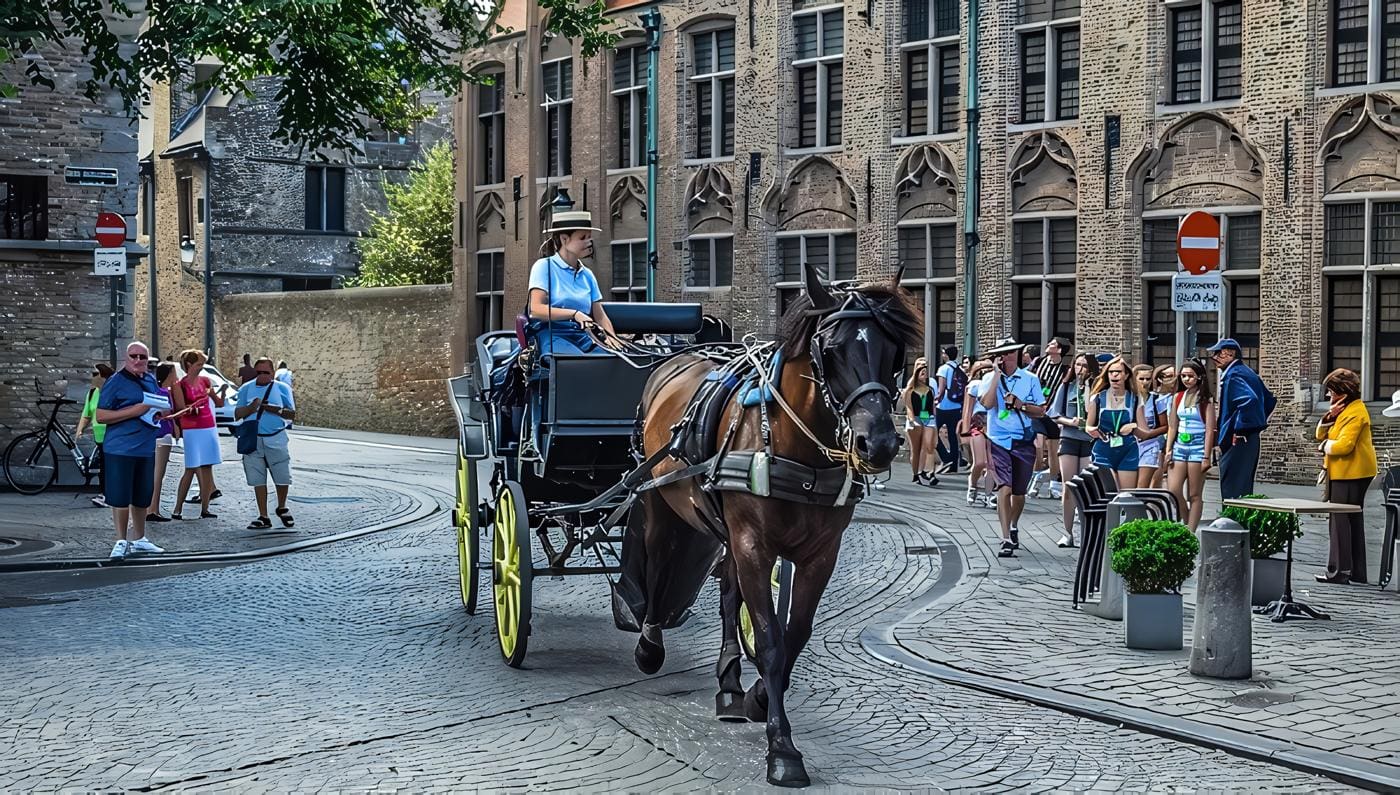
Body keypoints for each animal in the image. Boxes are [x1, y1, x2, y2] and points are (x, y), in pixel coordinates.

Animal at [630, 264, 924, 783]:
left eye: (894, 352)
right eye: (832, 350)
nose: (881, 443)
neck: (796, 448)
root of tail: (675, 360)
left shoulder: (819, 554)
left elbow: (793, 636)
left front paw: (756, 700)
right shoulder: (754, 545)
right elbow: (768, 640)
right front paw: (782, 749)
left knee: (728, 594)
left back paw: (730, 683)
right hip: (662, 501)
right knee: (658, 563)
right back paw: (649, 646)